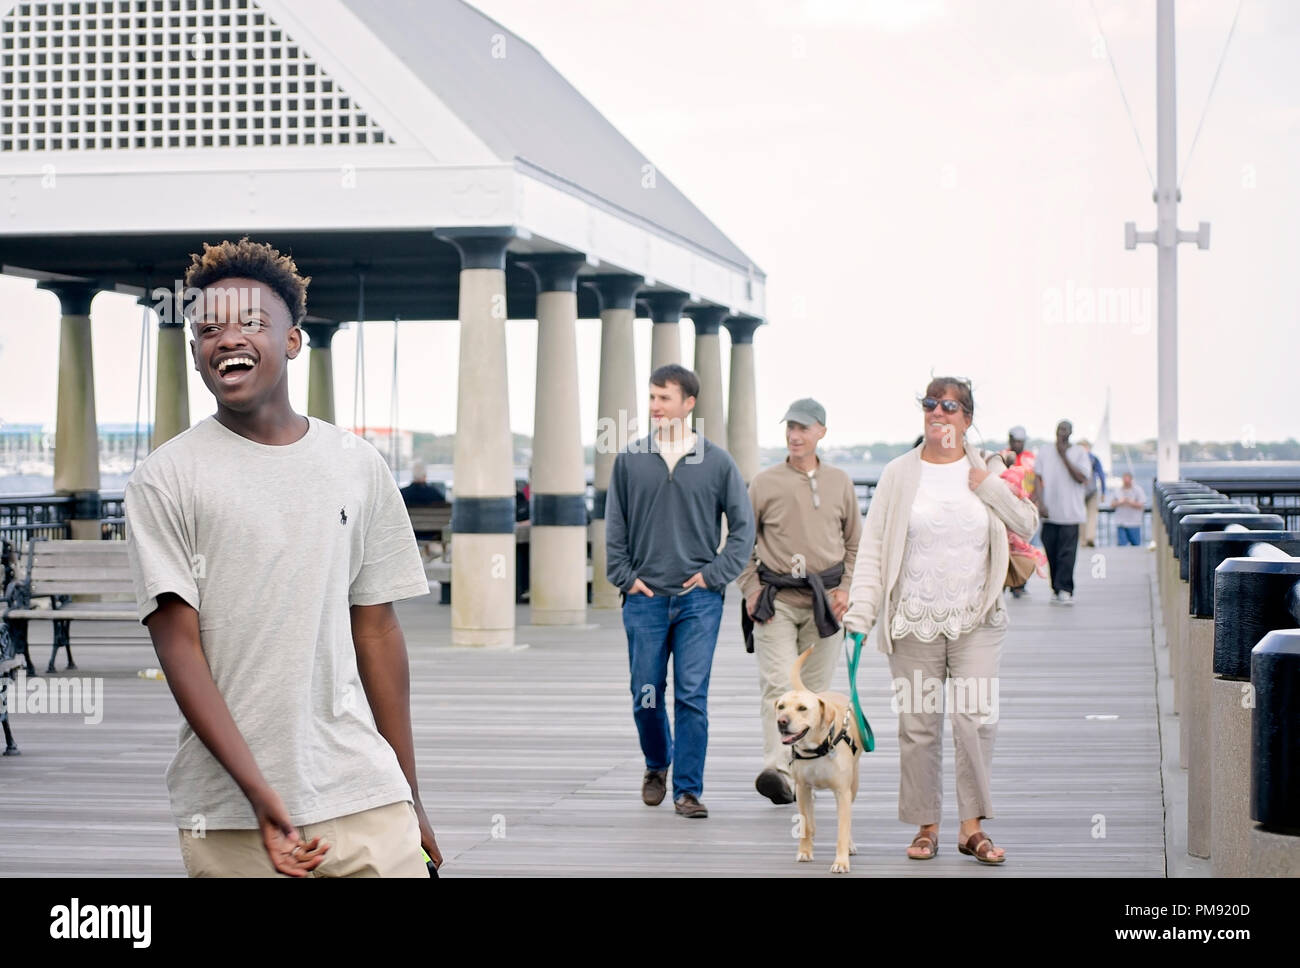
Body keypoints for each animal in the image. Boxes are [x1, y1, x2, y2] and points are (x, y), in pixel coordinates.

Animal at [769, 644, 863, 873]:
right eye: (781, 706)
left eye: (802, 708)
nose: (781, 721)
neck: (816, 749)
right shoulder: (802, 788)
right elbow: (805, 824)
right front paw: (805, 851)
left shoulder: (842, 793)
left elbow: (842, 830)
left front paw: (841, 861)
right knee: (810, 820)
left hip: (853, 785)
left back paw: (850, 846)